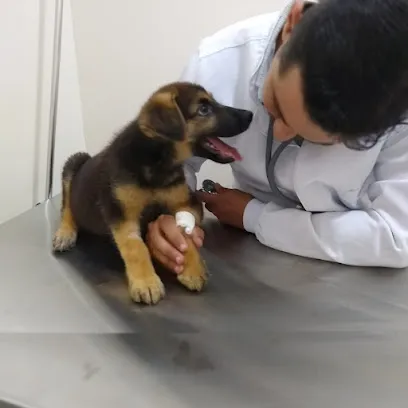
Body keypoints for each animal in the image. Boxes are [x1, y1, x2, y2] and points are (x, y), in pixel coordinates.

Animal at [52, 81, 253, 304]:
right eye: (203, 109)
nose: (250, 114)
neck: (159, 164)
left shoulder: (185, 202)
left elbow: (185, 235)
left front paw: (192, 270)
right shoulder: (121, 213)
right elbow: (135, 247)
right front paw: (146, 282)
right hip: (74, 163)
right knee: (67, 206)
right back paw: (65, 233)